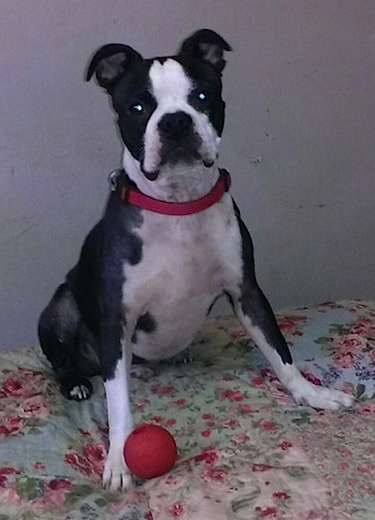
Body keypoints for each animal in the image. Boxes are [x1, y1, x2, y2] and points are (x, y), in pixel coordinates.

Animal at [39, 29, 356, 492]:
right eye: (138, 107)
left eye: (202, 96)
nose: (175, 122)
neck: (178, 205)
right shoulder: (118, 315)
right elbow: (117, 402)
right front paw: (118, 458)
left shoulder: (247, 292)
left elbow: (280, 353)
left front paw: (311, 393)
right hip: (60, 306)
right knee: (64, 362)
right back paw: (77, 383)